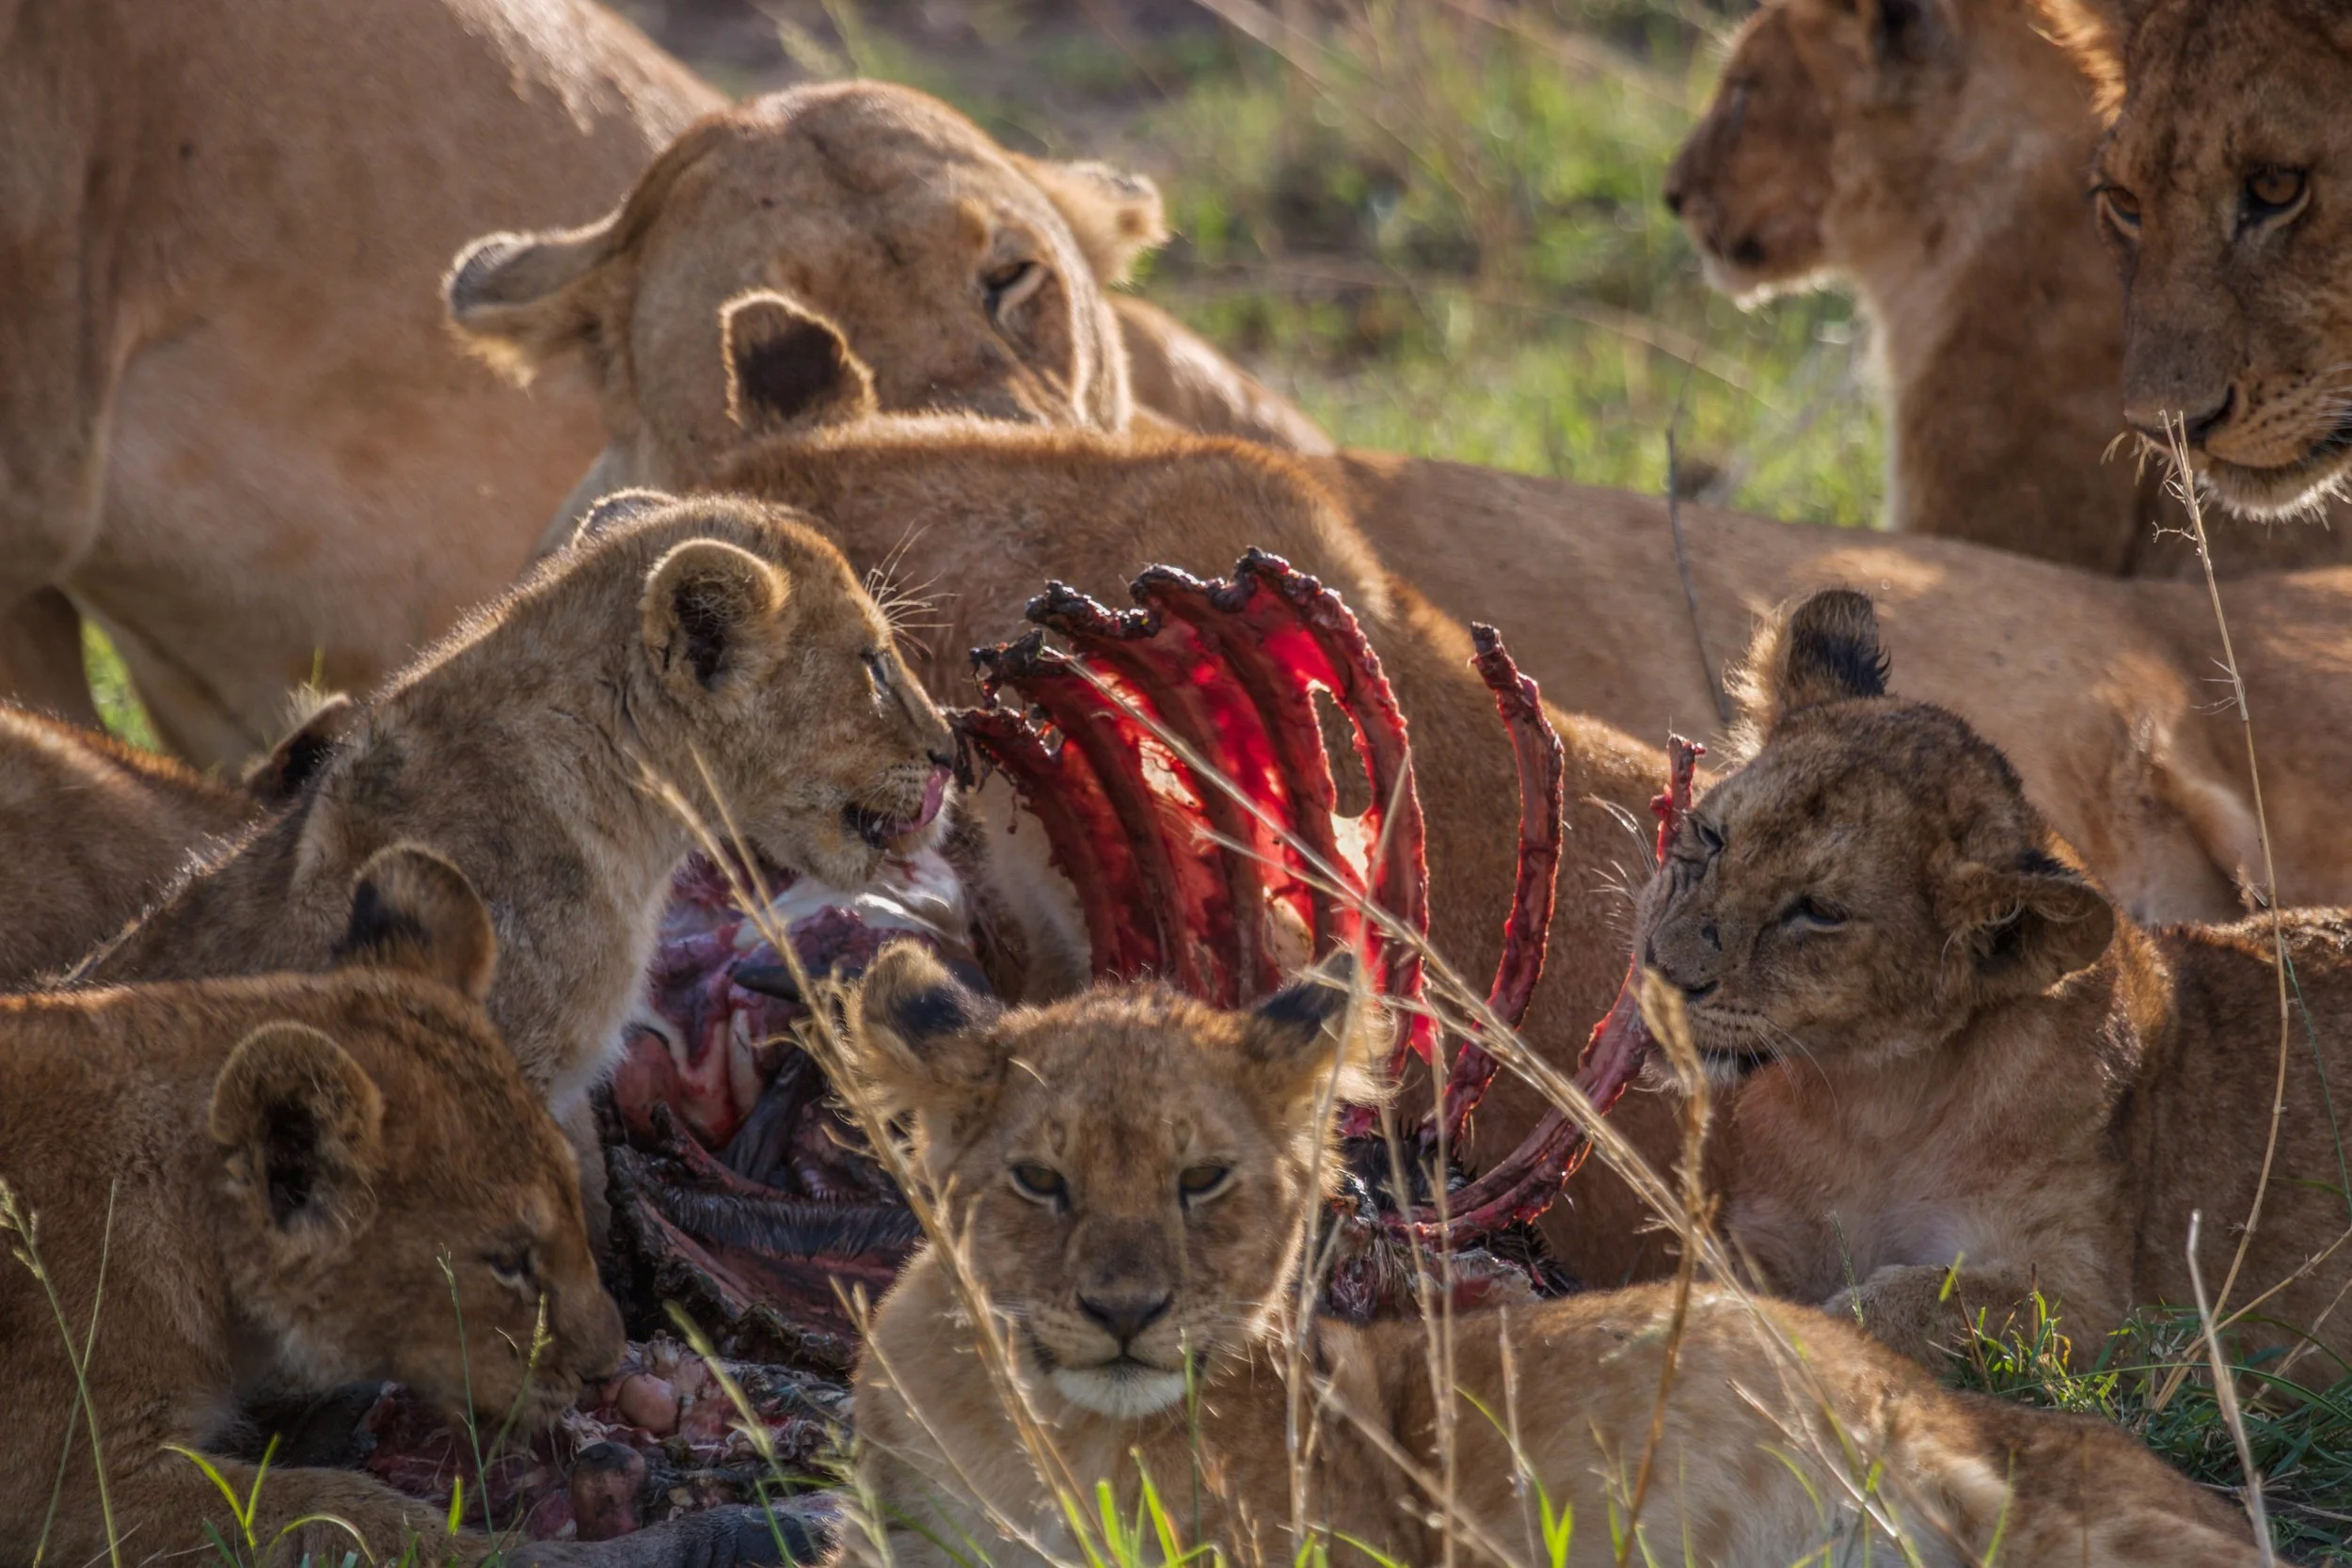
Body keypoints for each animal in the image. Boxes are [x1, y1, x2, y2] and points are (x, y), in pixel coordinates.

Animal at [1635, 587, 2352, 1368]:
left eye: (1818, 912)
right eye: (1712, 837)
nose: (1661, 970)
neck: (1870, 1105)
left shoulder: (2109, 1313)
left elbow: (1909, 1304)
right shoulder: (1763, 1236)